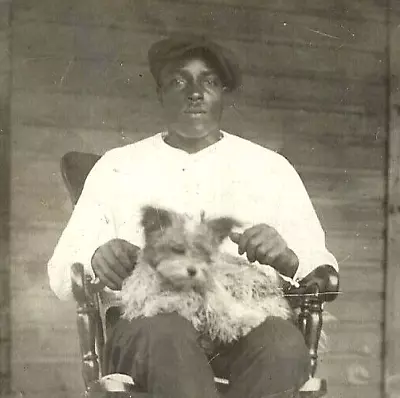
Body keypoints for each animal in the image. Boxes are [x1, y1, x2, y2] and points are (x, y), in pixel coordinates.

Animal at [120, 207, 292, 346]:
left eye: (203, 253)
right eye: (177, 249)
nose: (192, 271)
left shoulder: (215, 295)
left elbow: (224, 310)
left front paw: (245, 321)